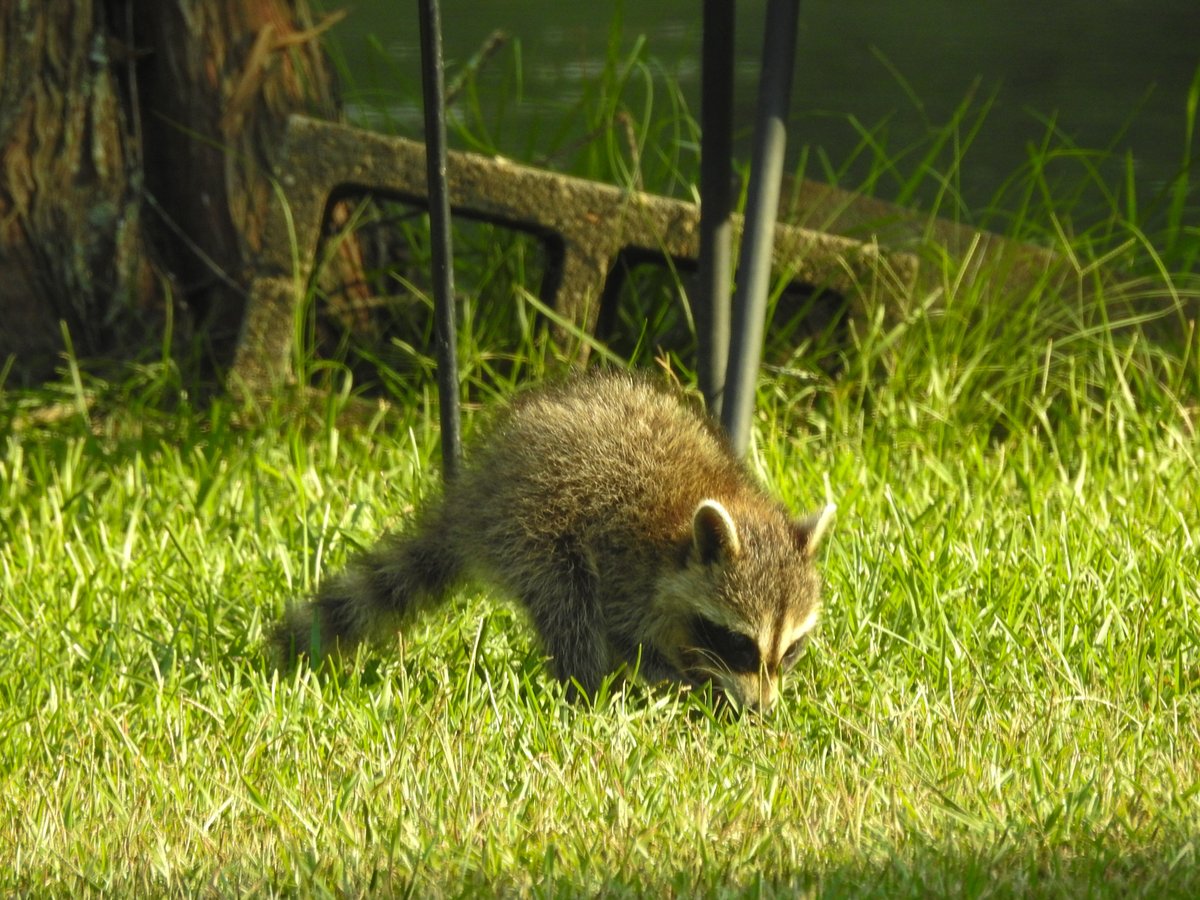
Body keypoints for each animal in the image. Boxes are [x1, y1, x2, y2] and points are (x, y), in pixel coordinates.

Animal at [273, 370, 834, 712]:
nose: (762, 710)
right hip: (532, 526)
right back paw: (585, 689)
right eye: (739, 642)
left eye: (791, 649)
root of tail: (472, 496)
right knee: (569, 604)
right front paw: (685, 679)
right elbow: (624, 633)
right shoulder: (628, 564)